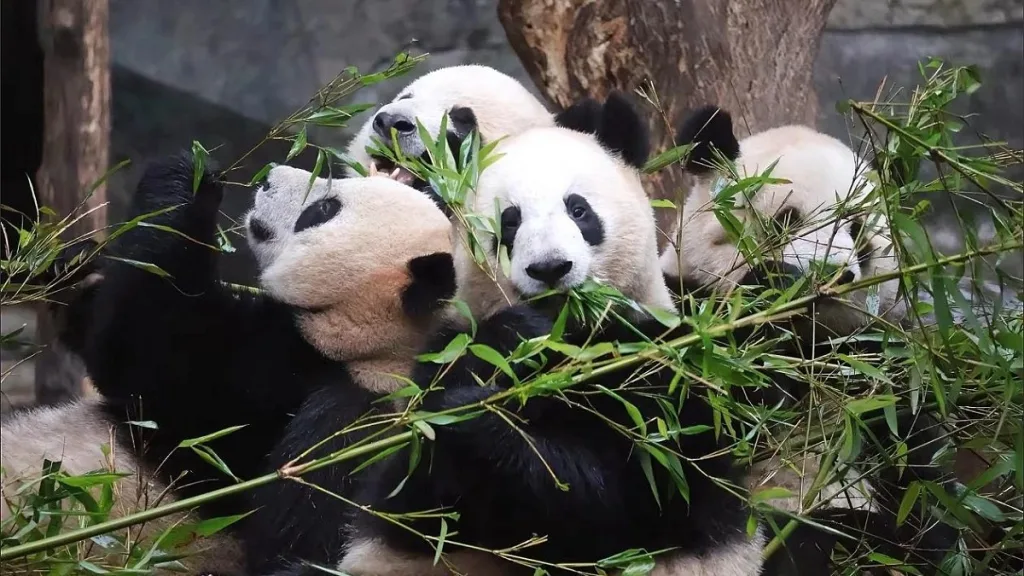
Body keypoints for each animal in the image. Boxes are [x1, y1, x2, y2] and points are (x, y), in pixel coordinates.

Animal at [1, 153, 458, 575]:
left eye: (324, 209)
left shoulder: (301, 393)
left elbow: (155, 355)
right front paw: (71, 266)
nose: (270, 176)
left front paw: (186, 179)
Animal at [320, 92, 766, 576]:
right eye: (510, 221)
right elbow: (424, 491)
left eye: (578, 209)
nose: (550, 268)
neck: (570, 338)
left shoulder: (662, 365)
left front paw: (477, 423)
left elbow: (623, 499)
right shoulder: (442, 351)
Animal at [659, 106, 960, 574]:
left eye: (856, 231)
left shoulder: (878, 365)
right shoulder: (687, 312)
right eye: (787, 219)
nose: (832, 276)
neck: (807, 347)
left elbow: (920, 468)